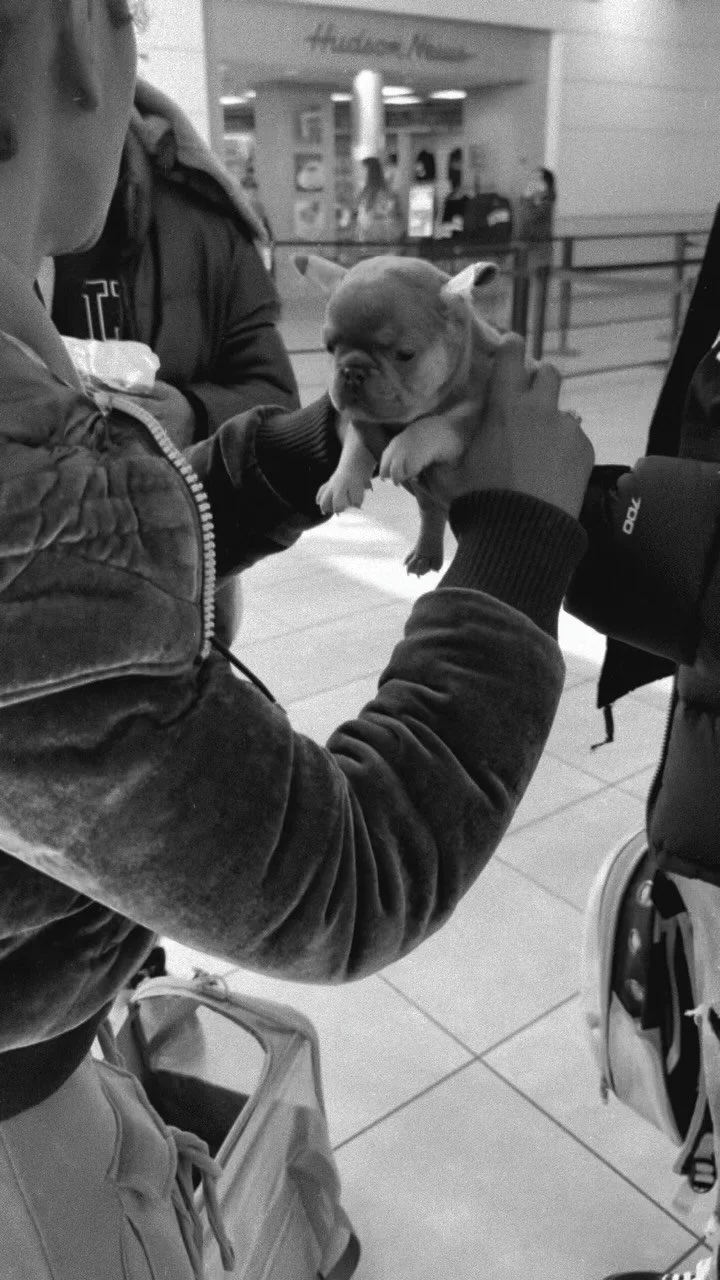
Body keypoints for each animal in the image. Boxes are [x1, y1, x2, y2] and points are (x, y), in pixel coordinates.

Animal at [293, 252, 501, 573]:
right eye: (329, 347)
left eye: (404, 355)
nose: (352, 370)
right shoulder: (362, 418)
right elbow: (354, 445)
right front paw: (341, 481)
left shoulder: (471, 418)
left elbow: (434, 425)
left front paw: (404, 448)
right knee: (431, 515)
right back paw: (425, 554)